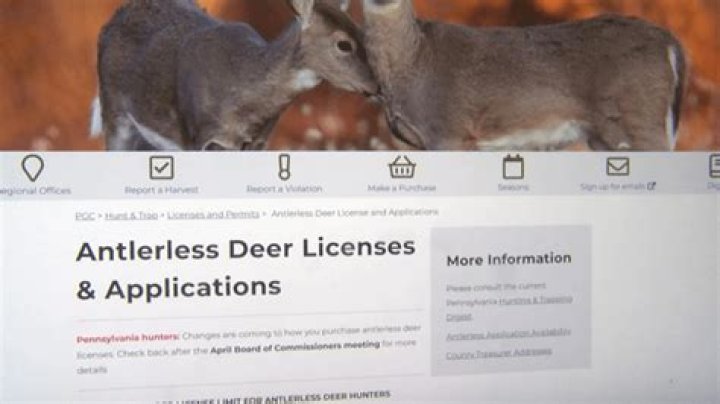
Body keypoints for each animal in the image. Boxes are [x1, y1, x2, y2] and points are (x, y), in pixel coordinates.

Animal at [94, 0, 378, 150]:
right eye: (343, 44)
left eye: (361, 30)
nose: (376, 85)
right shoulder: (197, 135)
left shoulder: (258, 142)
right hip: (114, 114)